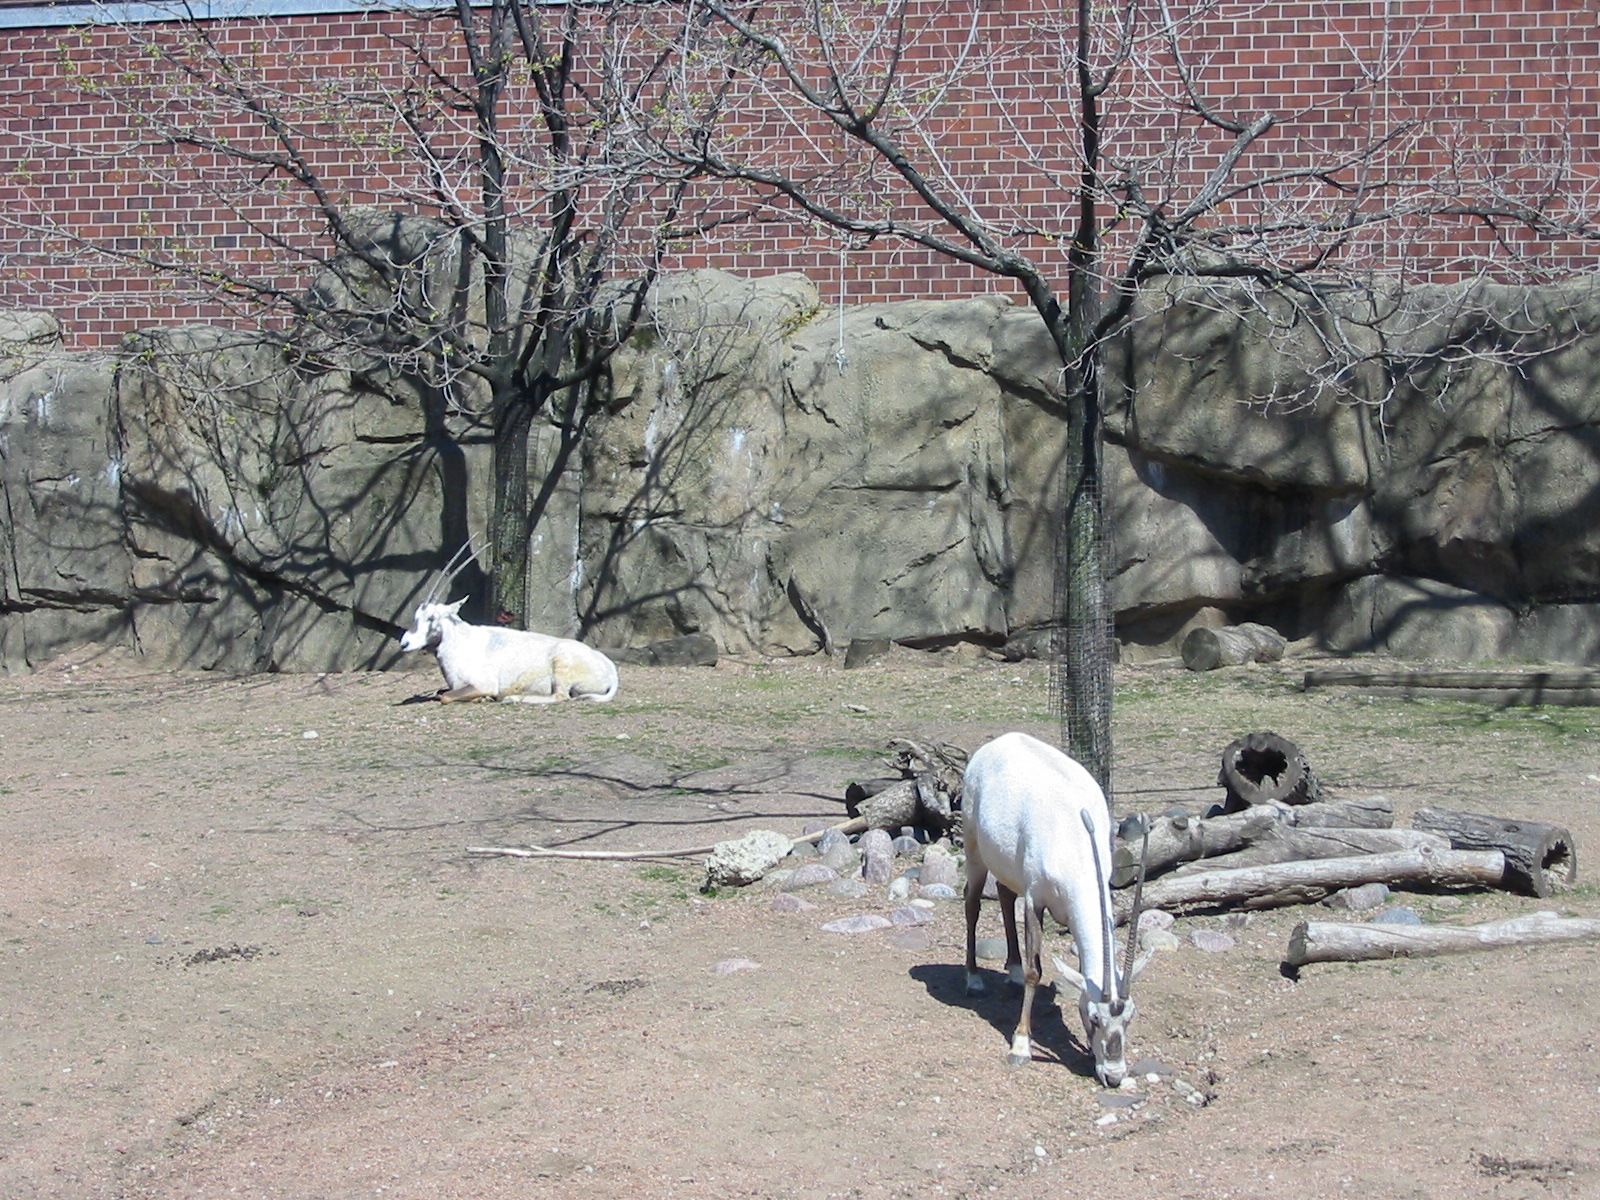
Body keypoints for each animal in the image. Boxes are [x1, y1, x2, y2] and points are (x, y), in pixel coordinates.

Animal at [962, 731, 1151, 1087]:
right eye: (1094, 1017)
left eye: (1131, 1016)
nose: (1114, 1076)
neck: (1074, 838)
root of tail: (1000, 741)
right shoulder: (1036, 900)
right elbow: (1036, 972)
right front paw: (1021, 1045)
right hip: (974, 849)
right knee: (971, 902)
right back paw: (974, 980)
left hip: (1008, 865)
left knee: (1005, 895)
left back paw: (1012, 971)